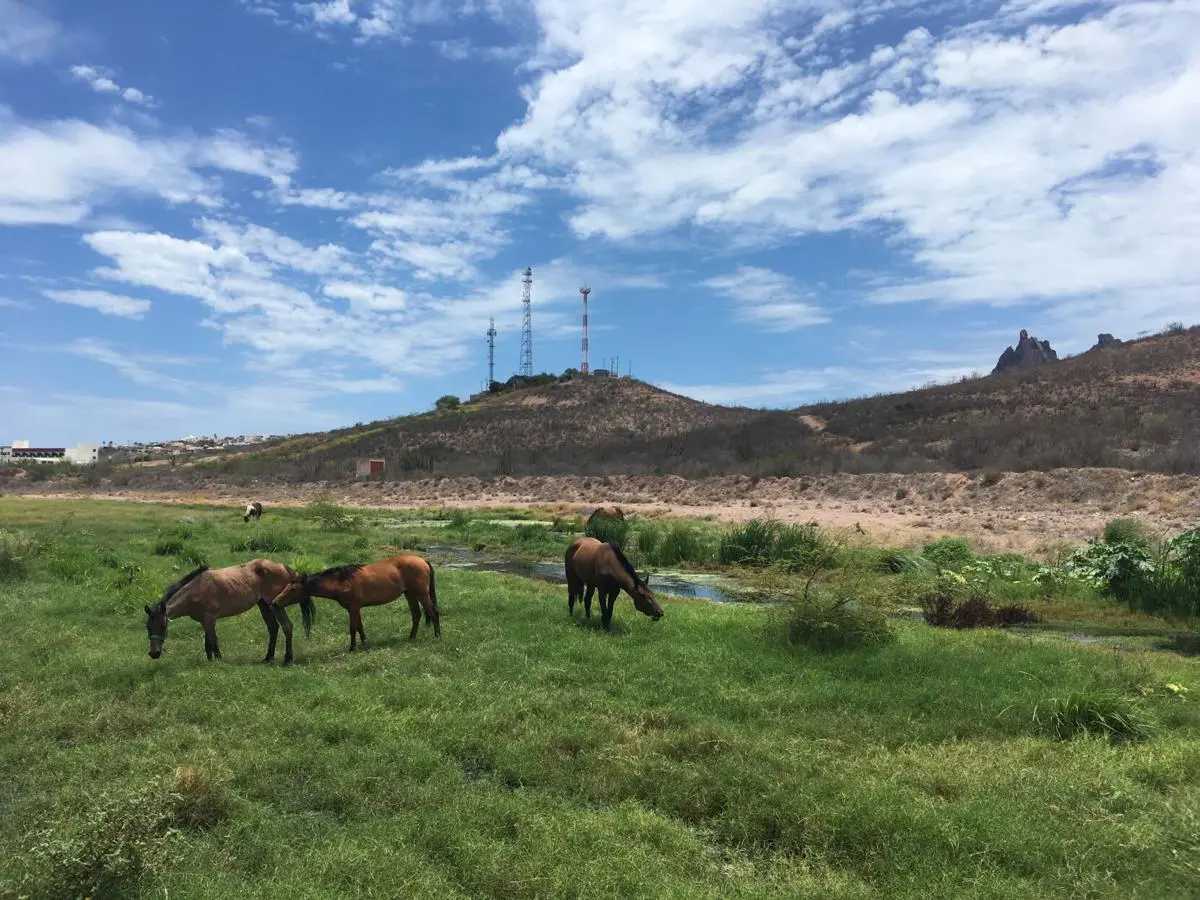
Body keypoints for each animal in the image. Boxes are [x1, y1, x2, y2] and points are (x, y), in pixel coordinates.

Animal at [142, 561, 314, 667]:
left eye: (163, 626)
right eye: (148, 627)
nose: (154, 653)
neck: (196, 590)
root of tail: (282, 566)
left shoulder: (210, 618)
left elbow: (213, 642)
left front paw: (218, 661)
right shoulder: (204, 621)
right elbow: (208, 644)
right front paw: (210, 662)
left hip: (276, 605)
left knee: (287, 626)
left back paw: (287, 660)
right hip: (264, 605)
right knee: (273, 628)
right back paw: (267, 658)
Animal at [270, 549, 439, 657]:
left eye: (293, 589)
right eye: (287, 586)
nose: (275, 602)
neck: (342, 581)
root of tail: (423, 560)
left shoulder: (353, 608)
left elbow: (352, 628)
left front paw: (352, 647)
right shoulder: (355, 609)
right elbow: (360, 627)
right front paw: (364, 643)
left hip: (421, 594)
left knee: (433, 612)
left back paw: (437, 636)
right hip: (410, 594)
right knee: (416, 615)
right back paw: (411, 638)